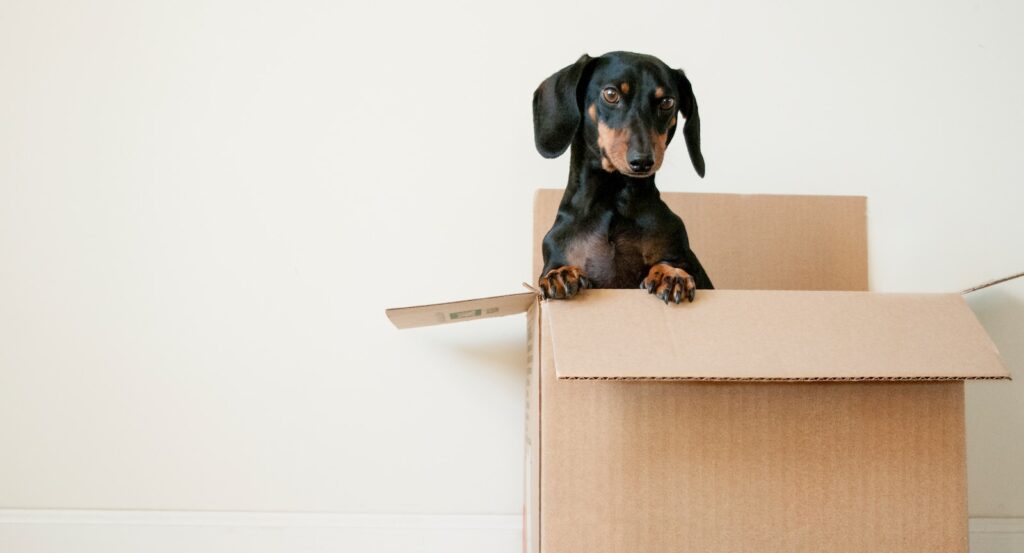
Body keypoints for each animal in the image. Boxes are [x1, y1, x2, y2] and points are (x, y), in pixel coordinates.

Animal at [536, 50, 712, 303]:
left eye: (667, 102)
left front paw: (670, 274)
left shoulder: (685, 257)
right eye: (611, 94)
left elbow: (673, 263)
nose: (642, 161)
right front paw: (560, 274)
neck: (613, 199)